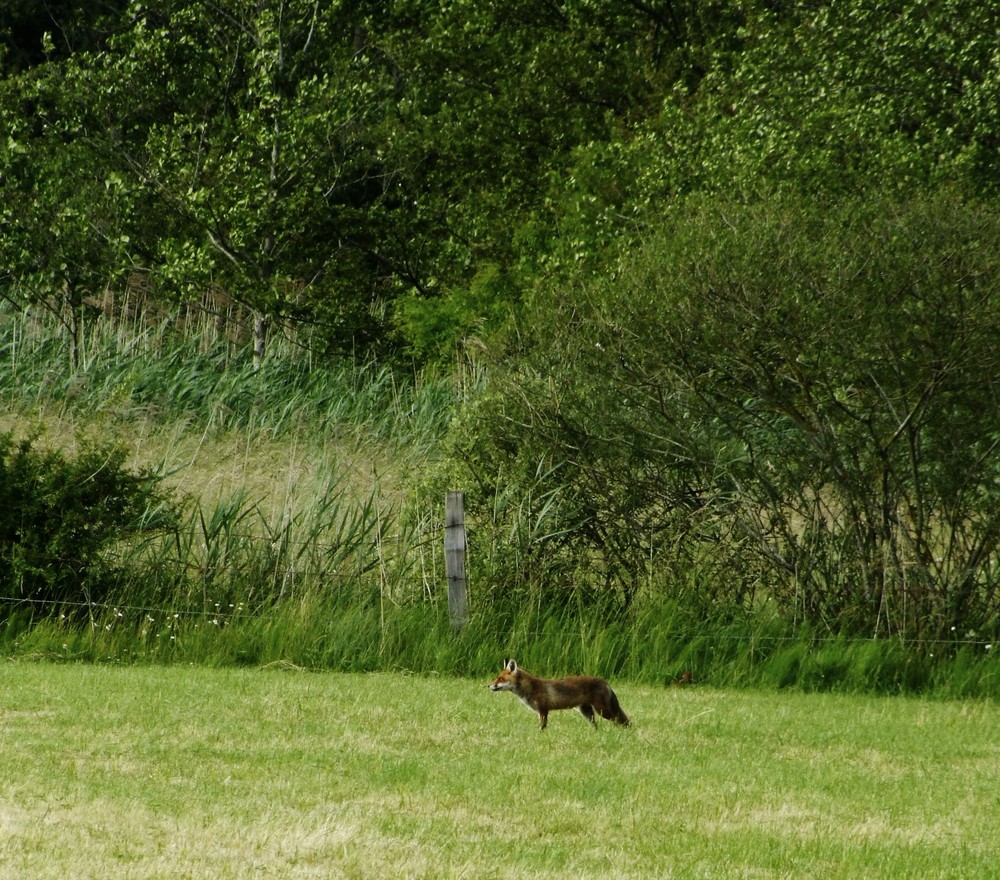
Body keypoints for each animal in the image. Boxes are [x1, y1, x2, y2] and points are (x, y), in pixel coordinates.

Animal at [486, 656, 628, 732]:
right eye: (497, 678)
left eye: (501, 679)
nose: (489, 686)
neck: (532, 688)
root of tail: (605, 681)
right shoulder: (540, 711)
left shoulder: (543, 710)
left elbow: (542, 727)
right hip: (586, 712)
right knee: (597, 725)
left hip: (602, 711)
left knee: (621, 721)